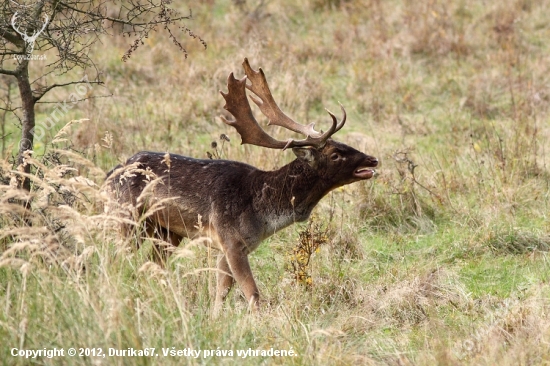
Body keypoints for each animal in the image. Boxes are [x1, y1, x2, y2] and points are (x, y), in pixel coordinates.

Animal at [104, 58, 380, 314]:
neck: (263, 213)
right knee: (117, 261)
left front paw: (215, 318)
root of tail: (109, 175)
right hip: (126, 218)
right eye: (335, 154)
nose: (373, 159)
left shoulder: (231, 247)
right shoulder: (231, 241)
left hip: (166, 232)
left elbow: (222, 290)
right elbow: (252, 293)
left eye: (344, 144)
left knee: (151, 266)